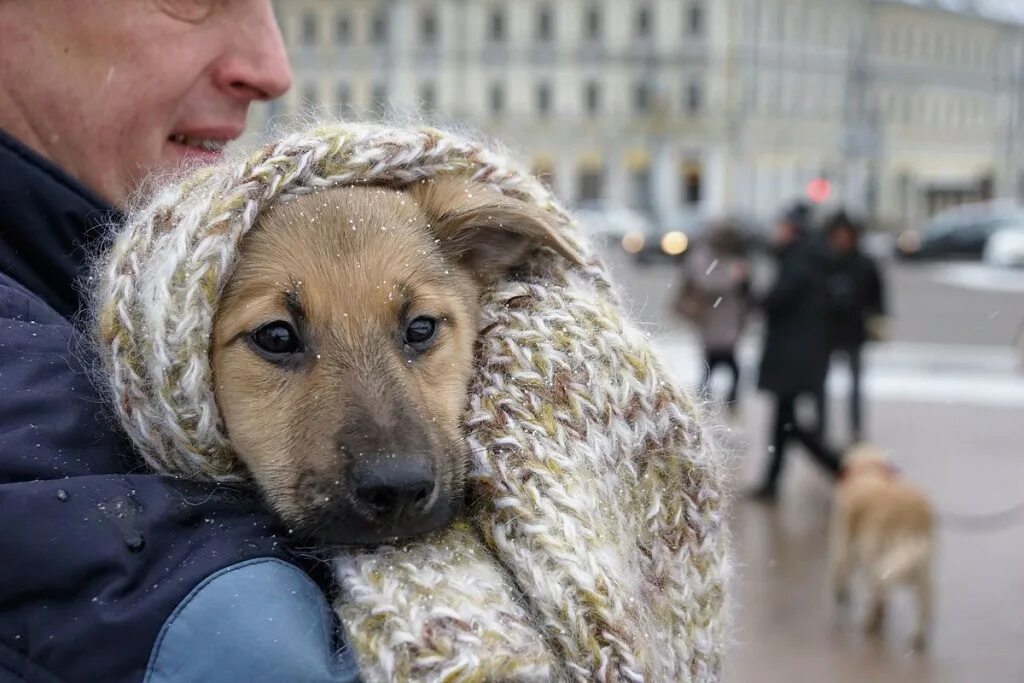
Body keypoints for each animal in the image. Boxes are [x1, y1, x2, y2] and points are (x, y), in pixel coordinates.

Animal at [831, 444, 937, 651]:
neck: (869, 470)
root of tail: (911, 515)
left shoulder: (845, 540)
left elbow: (841, 568)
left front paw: (841, 594)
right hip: (921, 564)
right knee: (925, 602)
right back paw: (918, 636)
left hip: (876, 552)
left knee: (876, 585)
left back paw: (870, 622)